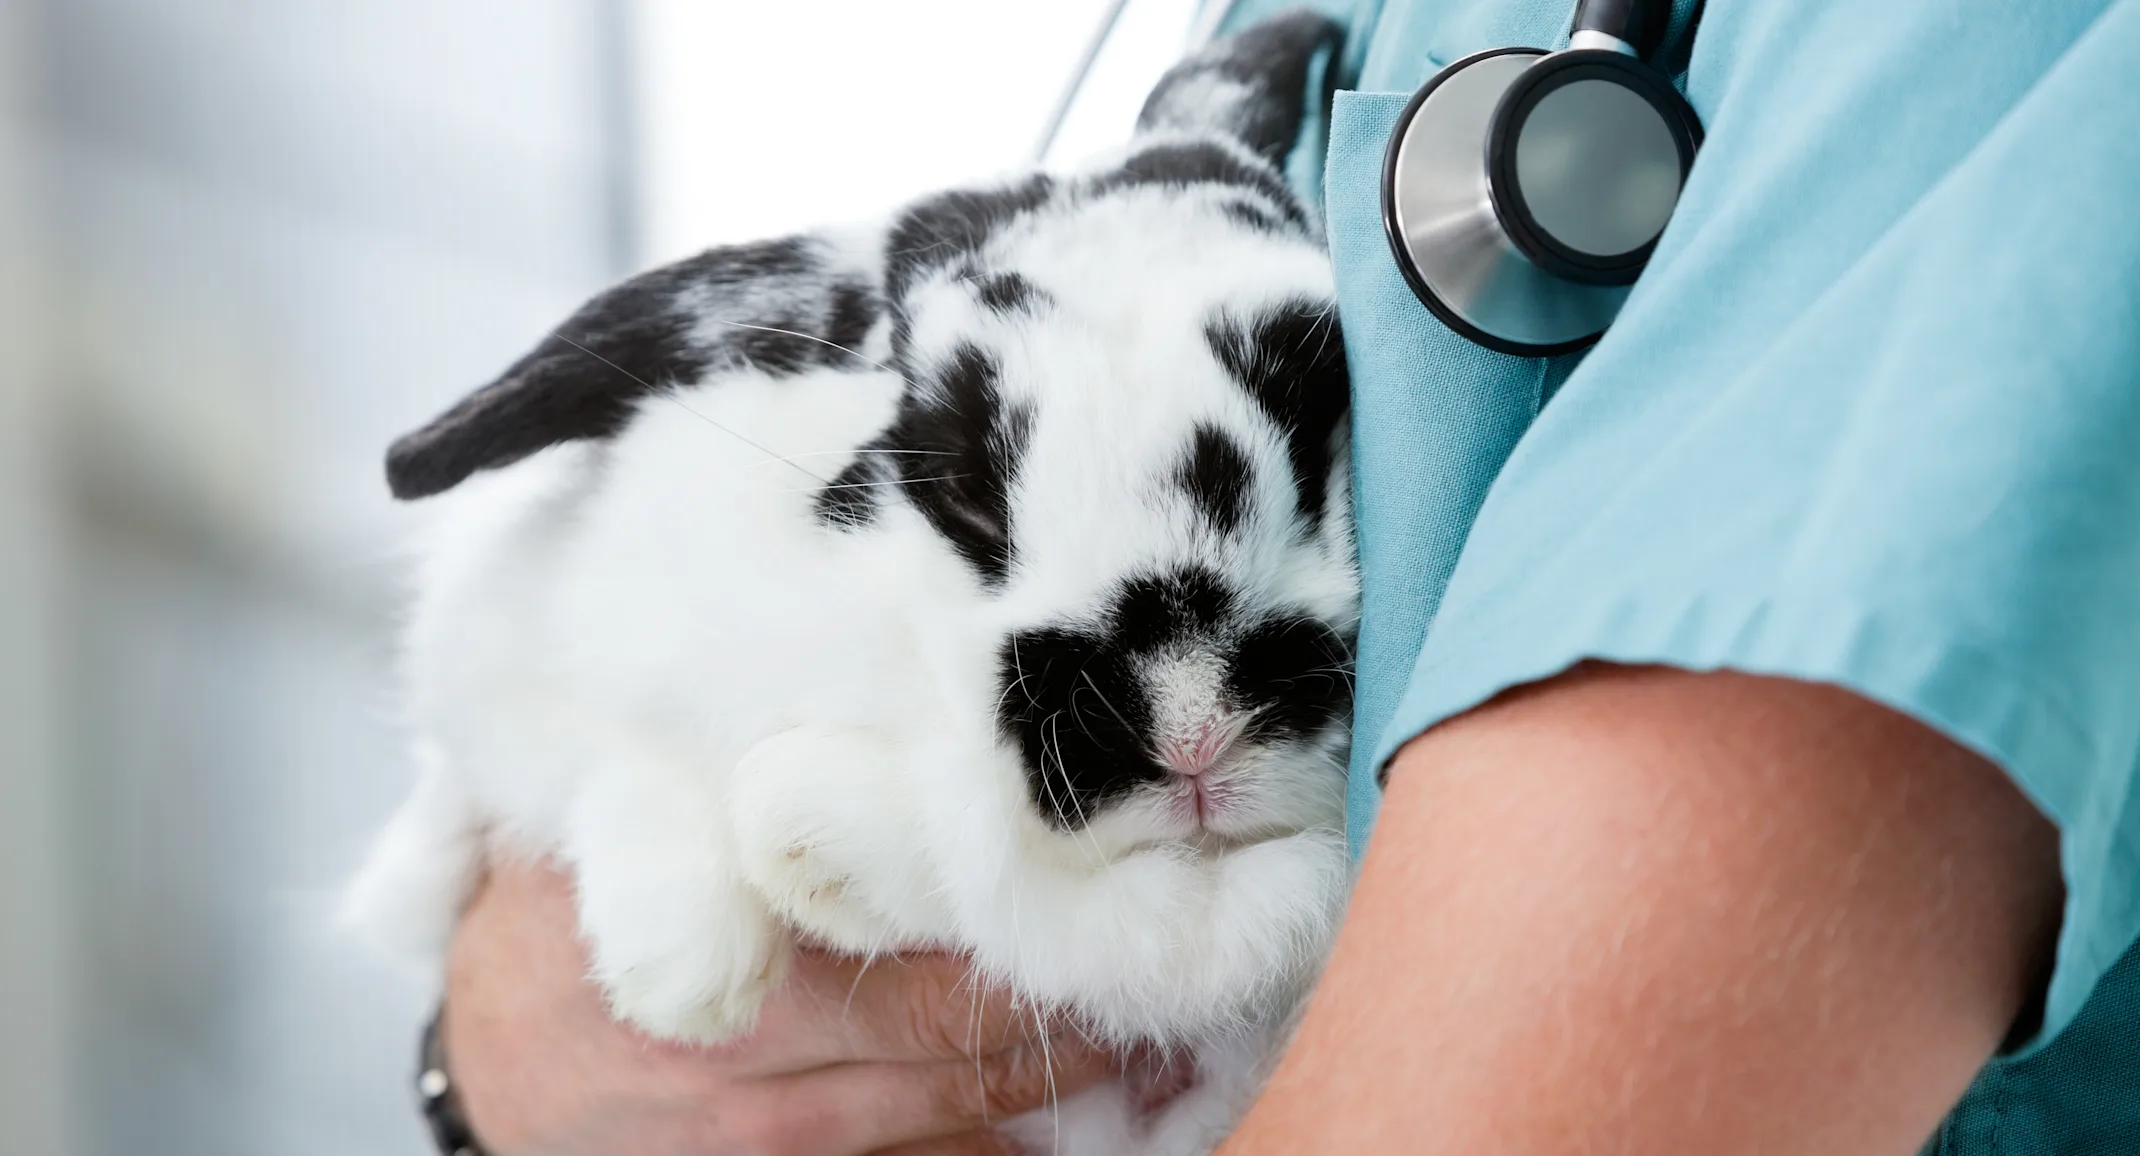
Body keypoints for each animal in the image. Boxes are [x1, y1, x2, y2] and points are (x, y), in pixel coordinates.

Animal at [348, 11, 1352, 1156]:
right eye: (958, 485)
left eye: (1323, 421)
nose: (1192, 722)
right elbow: (605, 750)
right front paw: (685, 975)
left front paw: (812, 843)